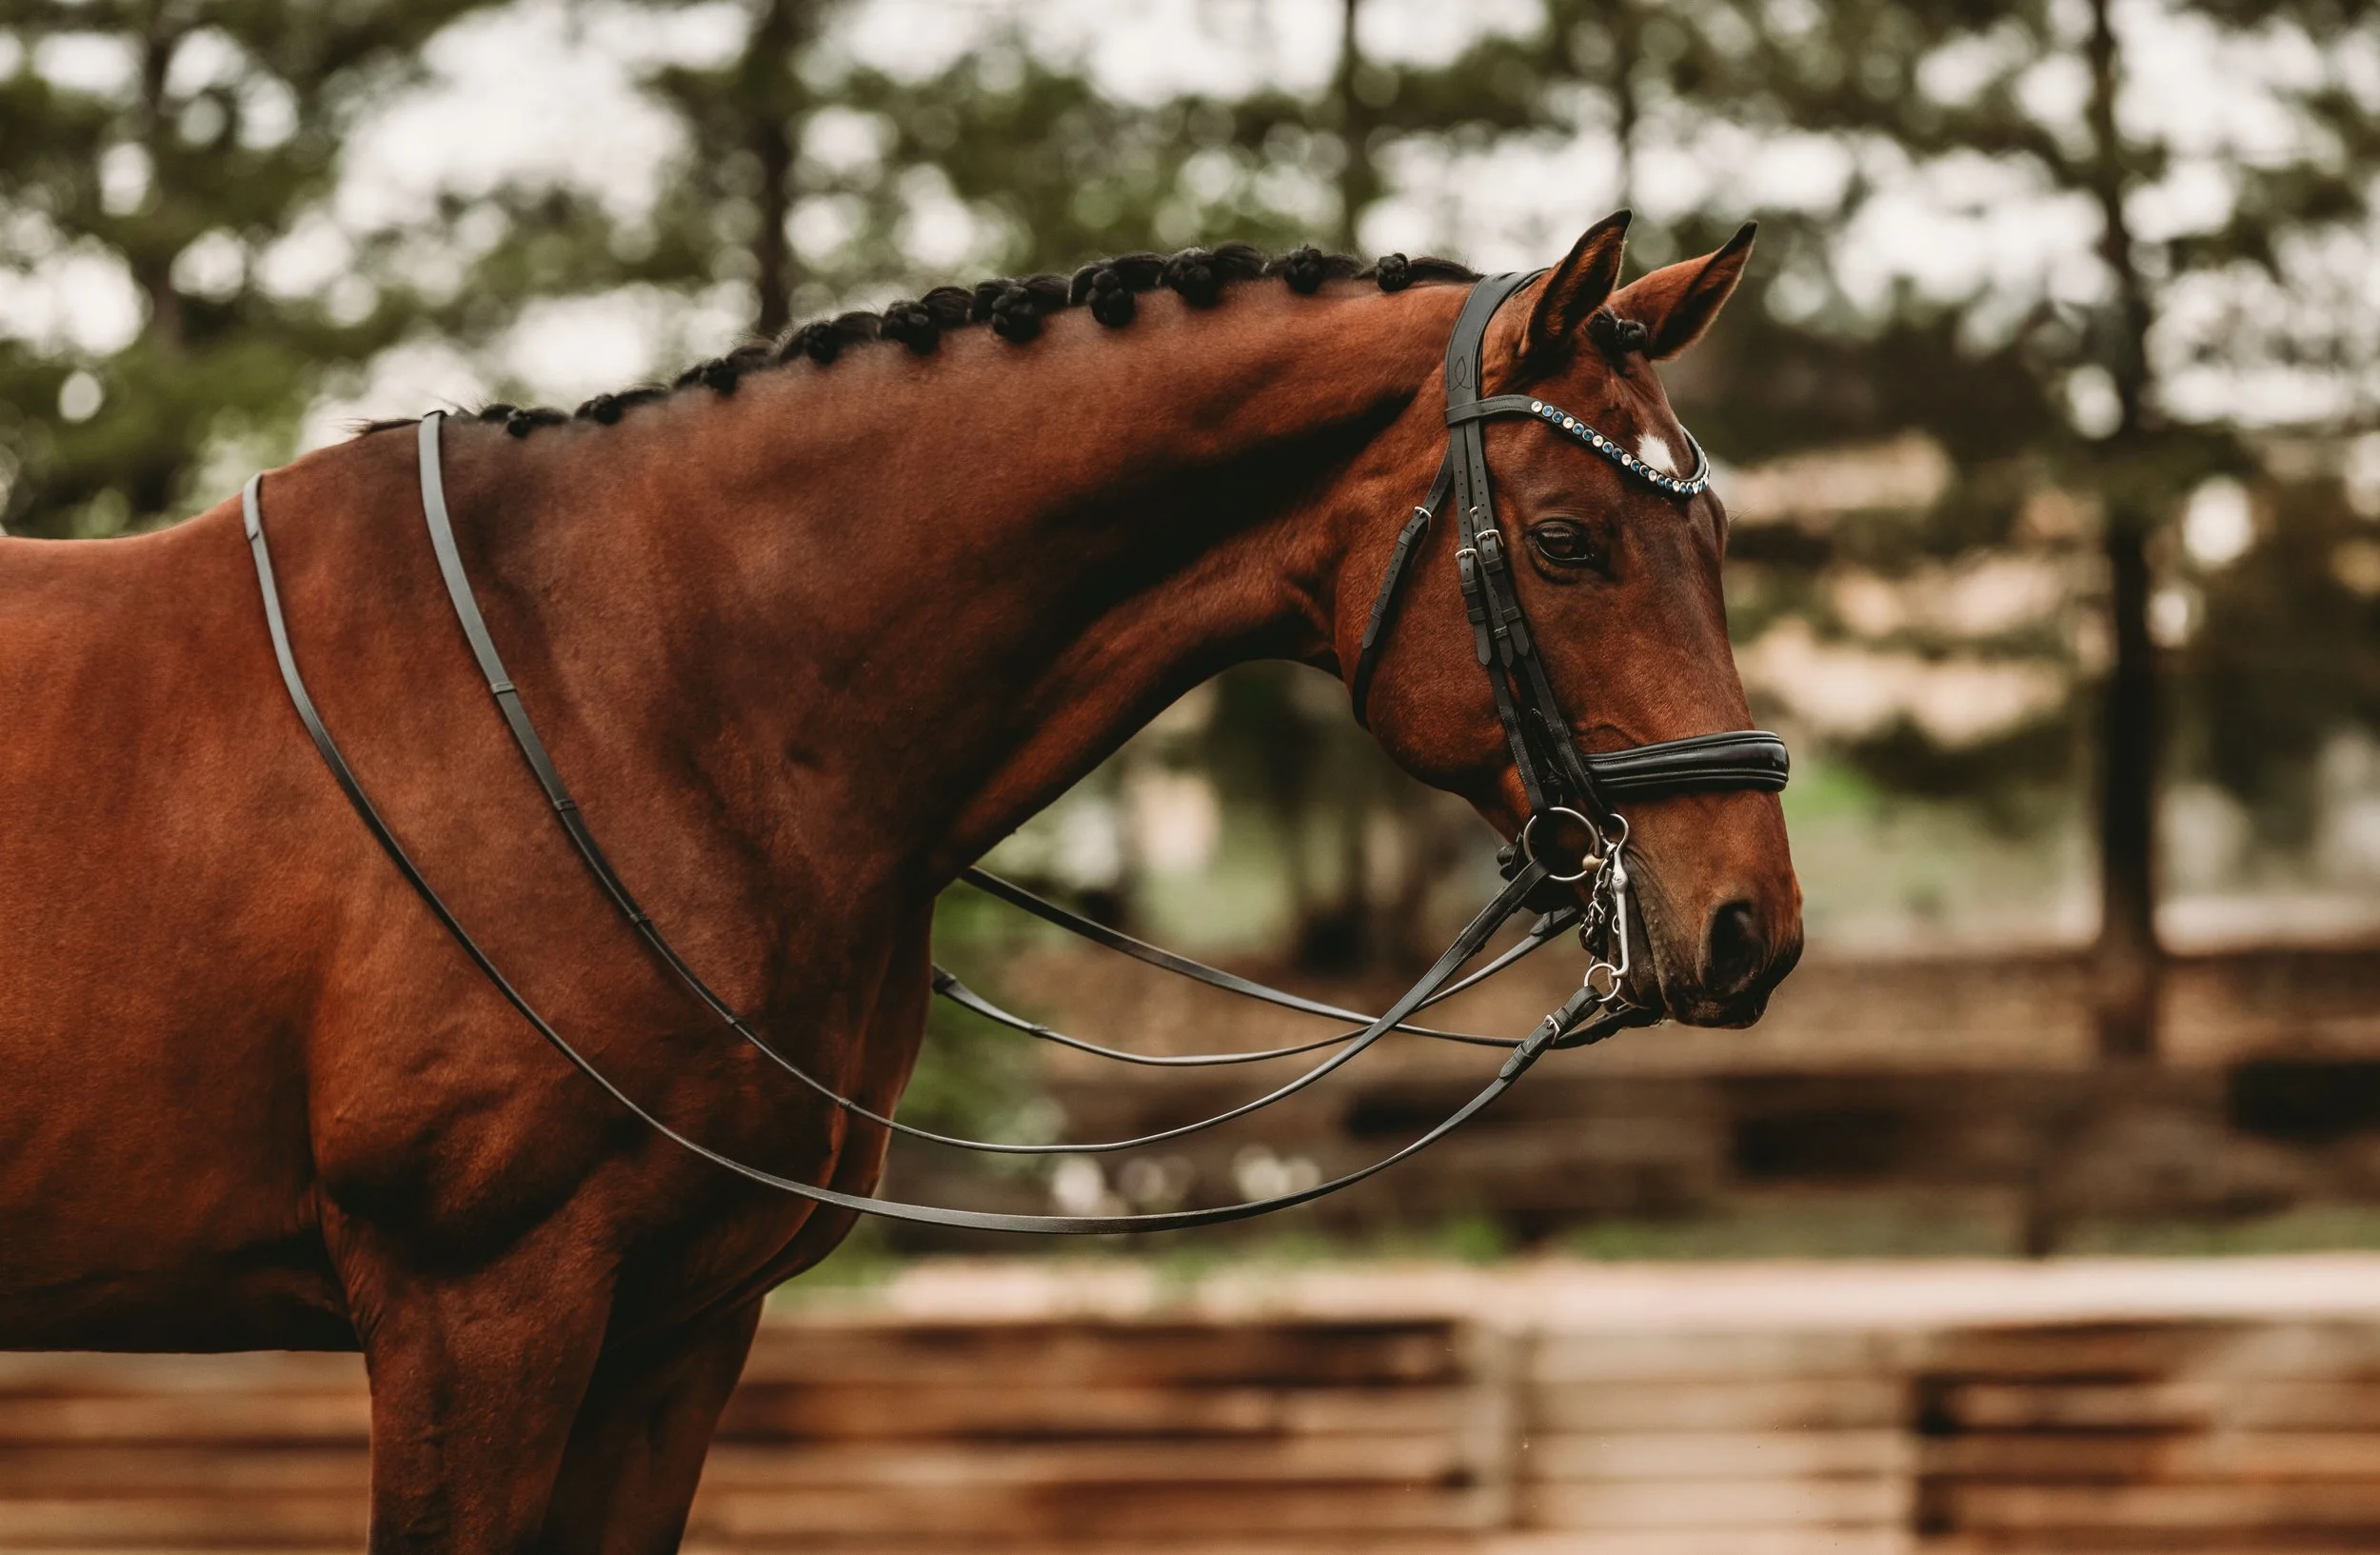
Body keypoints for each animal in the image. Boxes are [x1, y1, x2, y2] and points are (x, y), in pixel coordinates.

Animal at [0, 212, 1800, 1551]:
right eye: (1566, 541)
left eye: (1718, 538)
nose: (1749, 924)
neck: (626, 691)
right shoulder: (476, 1314)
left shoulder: (672, 1332)